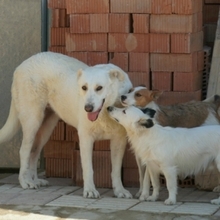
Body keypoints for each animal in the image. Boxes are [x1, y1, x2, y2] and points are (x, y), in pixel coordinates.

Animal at [0, 52, 132, 199]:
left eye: (99, 88)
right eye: (84, 87)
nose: (87, 108)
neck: (105, 113)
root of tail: (21, 65)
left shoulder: (119, 140)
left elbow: (116, 170)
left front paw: (120, 190)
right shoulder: (85, 138)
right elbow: (88, 168)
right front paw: (90, 190)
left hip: (47, 128)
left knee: (34, 152)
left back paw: (35, 180)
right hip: (32, 121)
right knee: (24, 151)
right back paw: (26, 181)